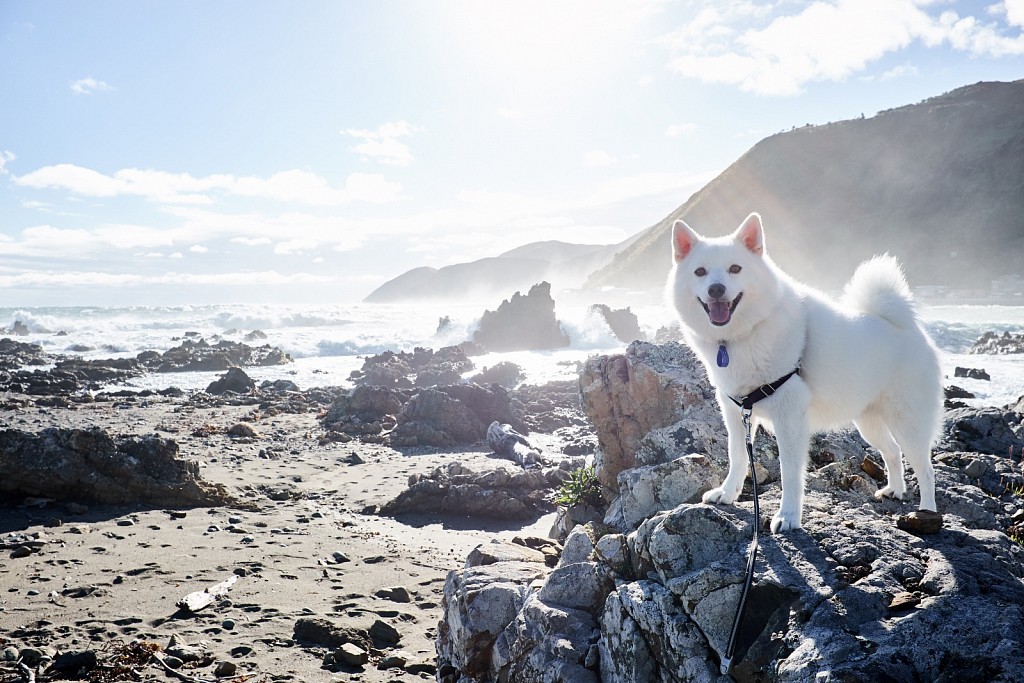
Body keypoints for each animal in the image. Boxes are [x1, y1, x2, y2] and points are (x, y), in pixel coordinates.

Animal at [667, 214, 937, 532]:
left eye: (735, 268)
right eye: (700, 272)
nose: (716, 289)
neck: (742, 335)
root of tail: (908, 327)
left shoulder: (789, 416)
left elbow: (790, 472)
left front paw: (788, 516)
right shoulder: (736, 411)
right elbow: (737, 456)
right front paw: (727, 492)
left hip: (908, 422)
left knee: (925, 469)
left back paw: (927, 512)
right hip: (868, 421)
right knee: (893, 451)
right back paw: (894, 490)